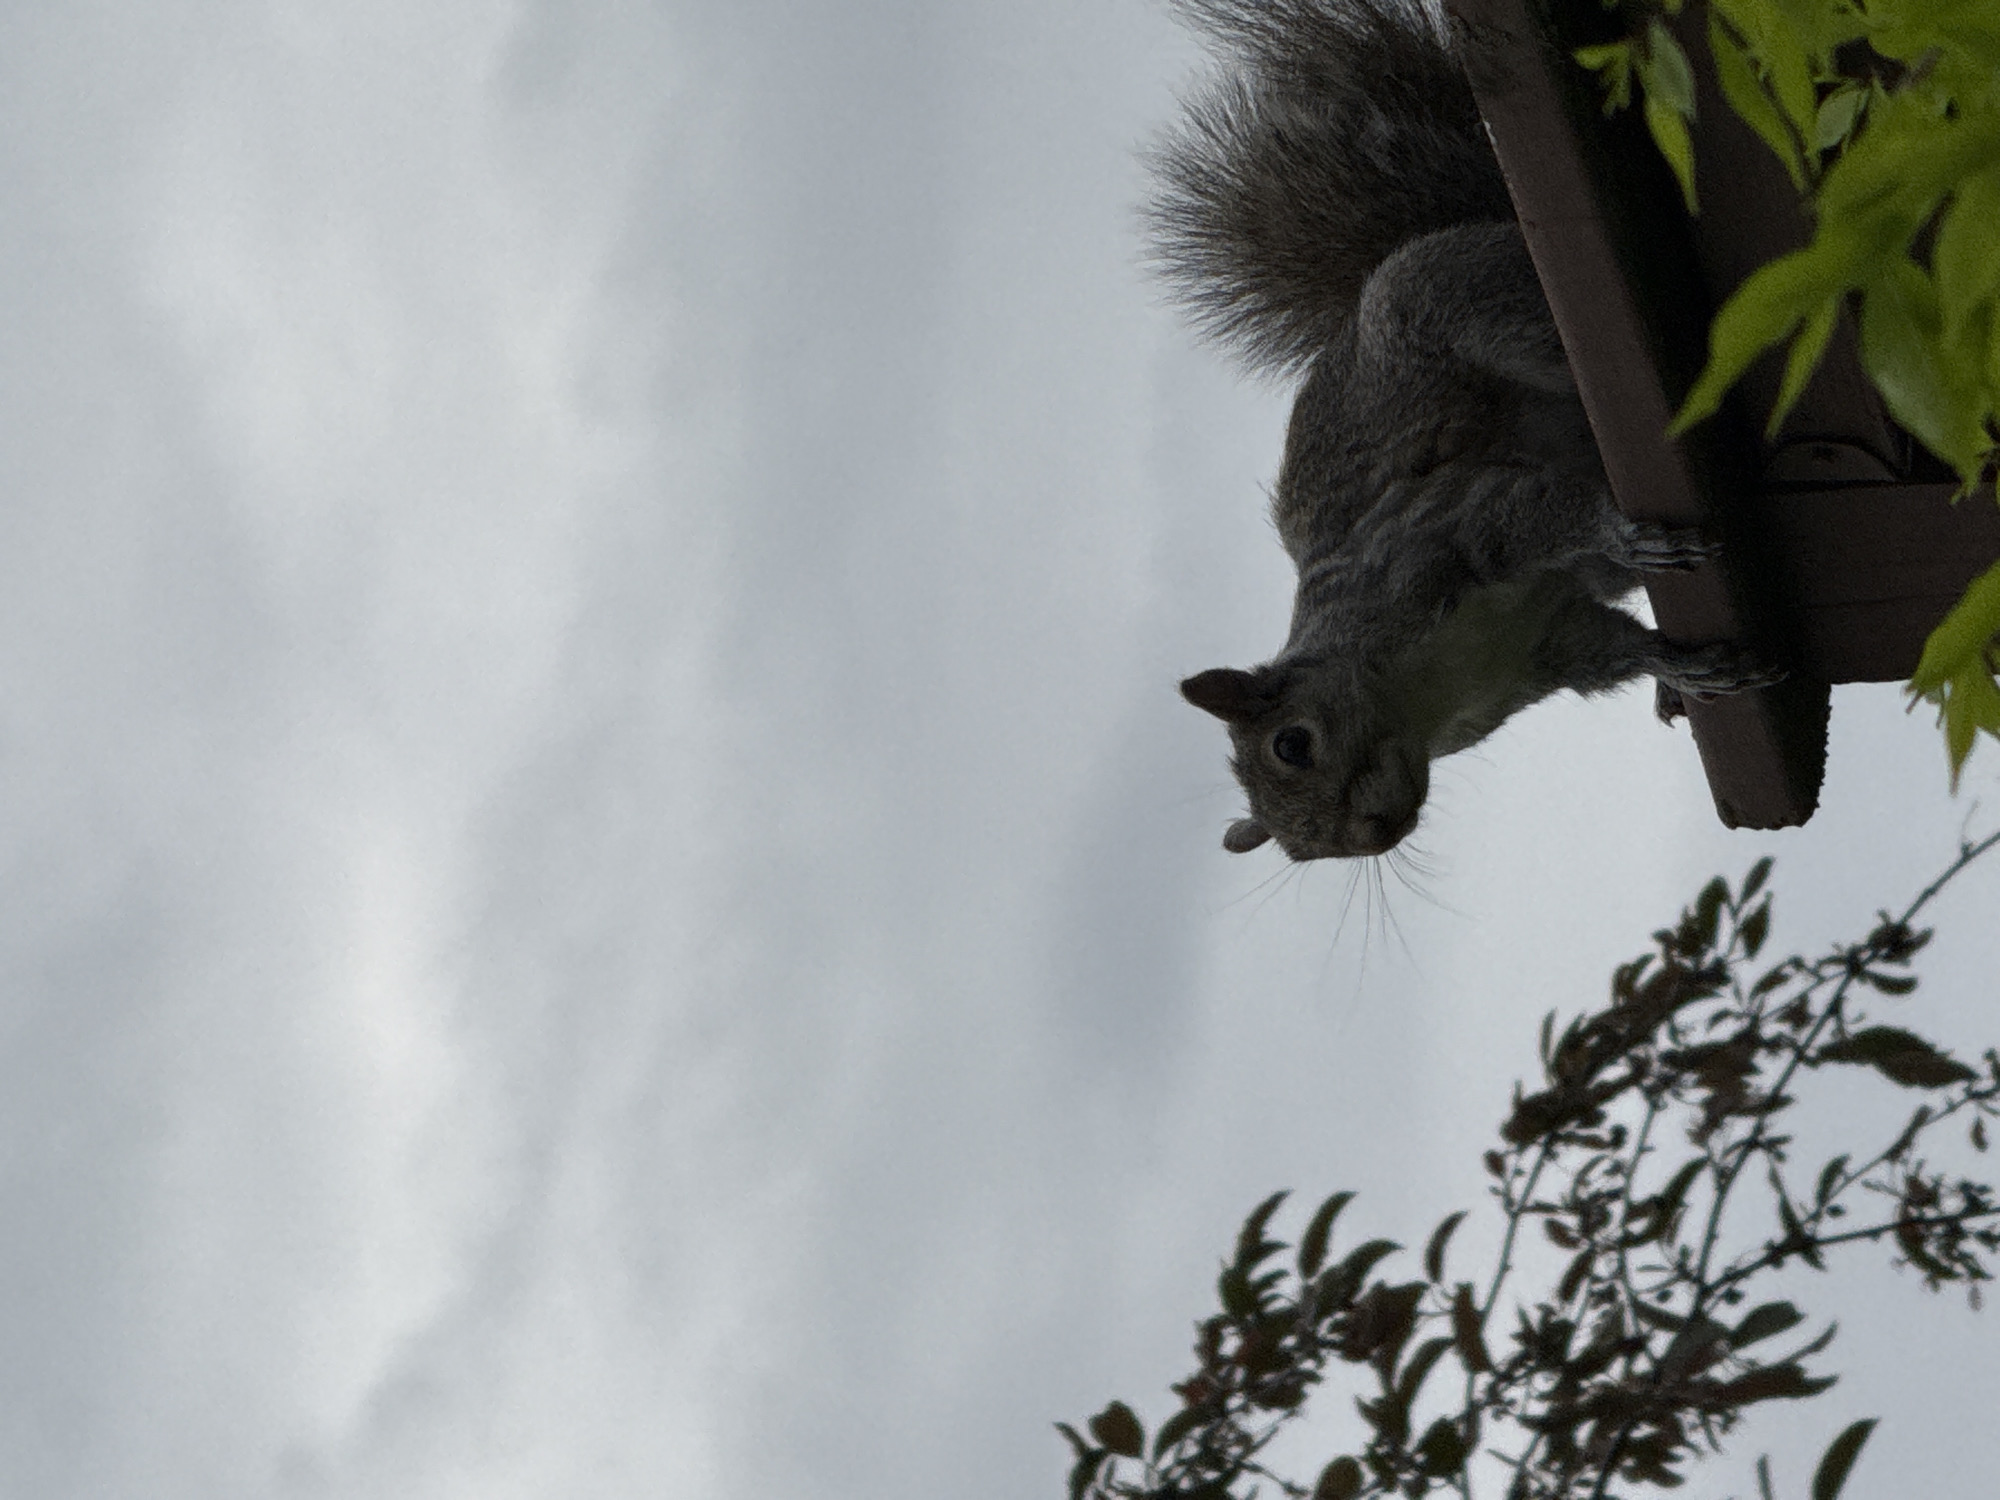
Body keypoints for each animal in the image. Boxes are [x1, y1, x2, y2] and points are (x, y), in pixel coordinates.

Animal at [1154, 0, 1776, 860]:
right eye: (1303, 853)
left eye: (1291, 744)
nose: (1372, 833)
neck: (1428, 692)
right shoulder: (1551, 645)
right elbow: (1614, 651)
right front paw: (1687, 673)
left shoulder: (1448, 529)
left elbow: (1544, 515)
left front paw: (1626, 534)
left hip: (1463, 309)